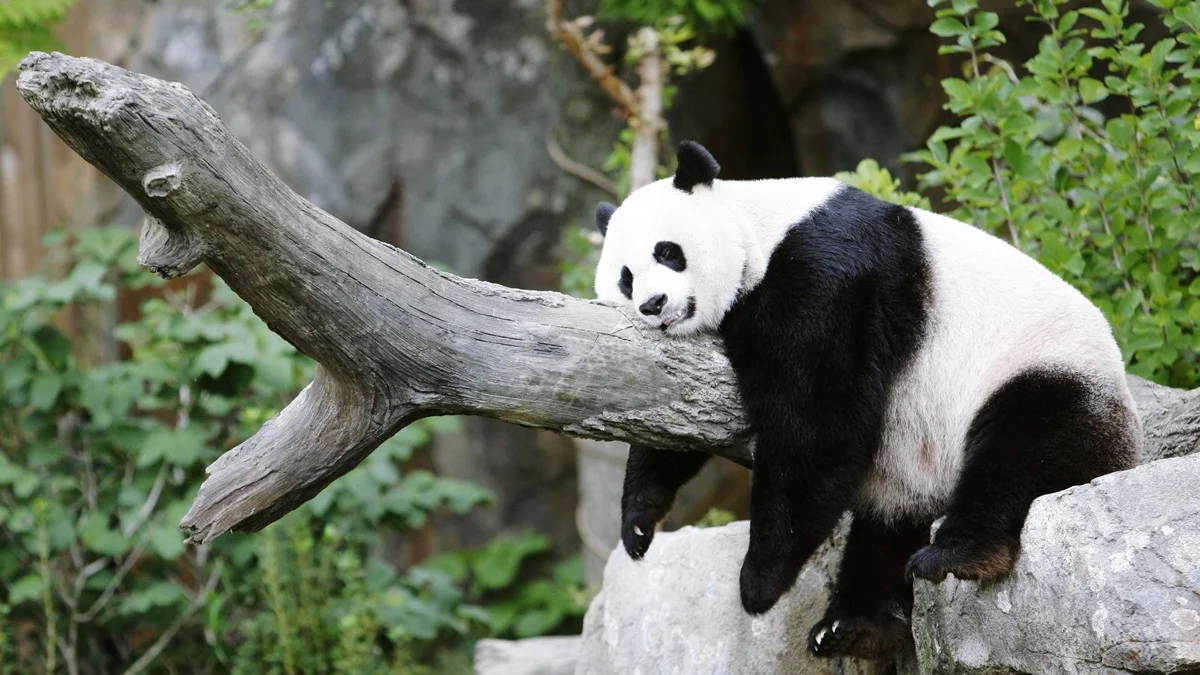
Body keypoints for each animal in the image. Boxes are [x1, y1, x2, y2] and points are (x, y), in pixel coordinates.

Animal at [592, 140, 1142, 660]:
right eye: (625, 277)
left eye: (668, 252)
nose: (653, 305)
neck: (760, 229)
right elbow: (675, 414)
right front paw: (639, 523)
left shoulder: (827, 275)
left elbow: (816, 422)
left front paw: (759, 582)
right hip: (914, 467)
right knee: (888, 527)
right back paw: (853, 626)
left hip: (1043, 372)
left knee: (1023, 449)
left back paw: (956, 555)